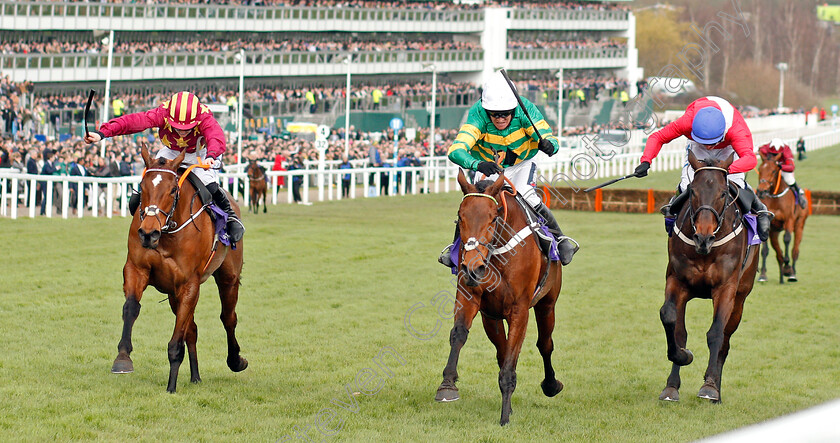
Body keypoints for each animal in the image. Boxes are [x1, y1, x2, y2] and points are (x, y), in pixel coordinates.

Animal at [110, 144, 246, 394]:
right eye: (142, 187)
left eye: (173, 190)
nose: (148, 233)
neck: (167, 233)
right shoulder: (136, 268)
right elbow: (131, 307)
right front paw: (123, 359)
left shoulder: (189, 284)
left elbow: (176, 340)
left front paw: (171, 387)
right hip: (173, 294)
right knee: (192, 328)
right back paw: (195, 376)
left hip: (228, 277)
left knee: (228, 318)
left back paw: (235, 361)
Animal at [434, 170, 564, 426]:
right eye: (460, 217)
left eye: (493, 218)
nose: (473, 268)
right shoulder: (471, 296)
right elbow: (459, 334)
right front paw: (447, 385)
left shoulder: (520, 309)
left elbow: (516, 354)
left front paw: (504, 417)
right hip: (491, 317)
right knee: (502, 350)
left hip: (547, 304)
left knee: (545, 344)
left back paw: (551, 385)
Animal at [656, 153, 760, 406]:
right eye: (693, 191)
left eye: (723, 193)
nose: (703, 237)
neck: (705, 250)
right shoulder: (677, 282)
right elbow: (672, 322)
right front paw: (675, 376)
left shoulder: (726, 289)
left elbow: (715, 334)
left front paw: (709, 387)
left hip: (741, 298)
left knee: (725, 340)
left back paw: (716, 390)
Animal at [756, 153, 808, 284]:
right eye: (760, 169)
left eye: (774, 171)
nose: (761, 191)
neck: (775, 198)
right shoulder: (768, 225)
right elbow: (765, 250)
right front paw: (763, 274)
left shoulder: (789, 220)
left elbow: (787, 239)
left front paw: (787, 266)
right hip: (775, 231)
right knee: (777, 250)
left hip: (799, 225)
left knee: (795, 249)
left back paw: (792, 272)